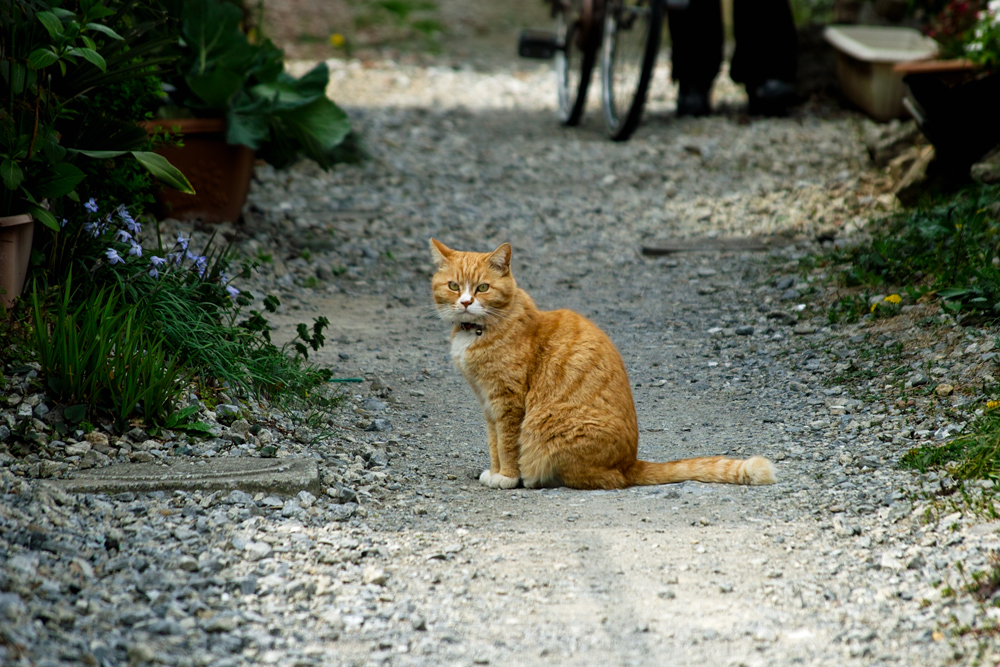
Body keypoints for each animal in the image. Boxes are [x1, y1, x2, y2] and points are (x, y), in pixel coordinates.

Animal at [428, 240, 772, 490]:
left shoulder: (508, 403)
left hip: (551, 430)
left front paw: (507, 477)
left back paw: (538, 478)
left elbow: (508, 444)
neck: (477, 330)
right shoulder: (488, 405)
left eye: (483, 288)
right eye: (454, 286)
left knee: (606, 480)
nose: (466, 302)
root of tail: (629, 463)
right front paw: (495, 470)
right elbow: (494, 443)